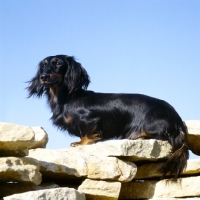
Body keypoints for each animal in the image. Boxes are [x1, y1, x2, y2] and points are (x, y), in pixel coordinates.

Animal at [27, 54, 189, 178]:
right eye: (44, 65)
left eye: (58, 64)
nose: (43, 77)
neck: (67, 98)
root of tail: (178, 120)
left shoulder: (88, 119)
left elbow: (87, 132)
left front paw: (82, 143)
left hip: (151, 124)